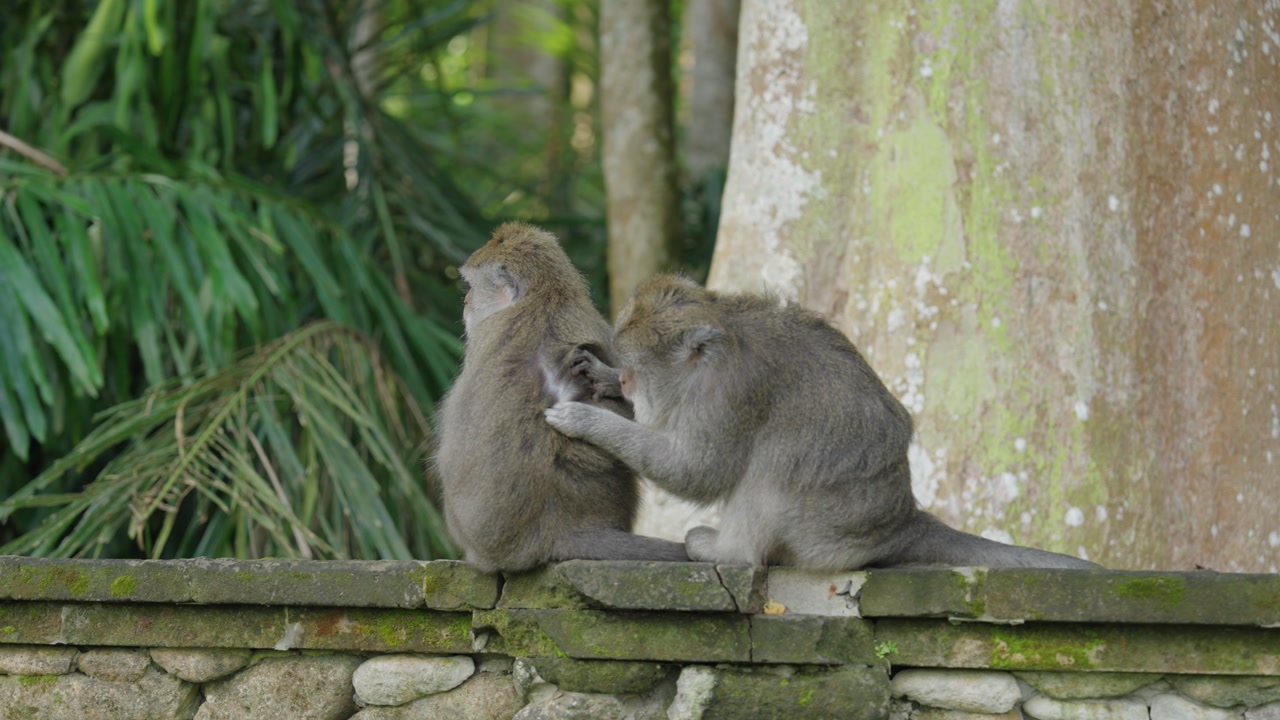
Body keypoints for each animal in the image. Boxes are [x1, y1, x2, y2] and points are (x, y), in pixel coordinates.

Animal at [544, 274, 1099, 570]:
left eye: (639, 370)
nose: (626, 381)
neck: (723, 338)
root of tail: (900, 521)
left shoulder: (728, 398)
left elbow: (698, 472)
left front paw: (587, 420)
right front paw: (600, 379)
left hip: (826, 533)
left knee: (775, 464)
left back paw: (729, 553)